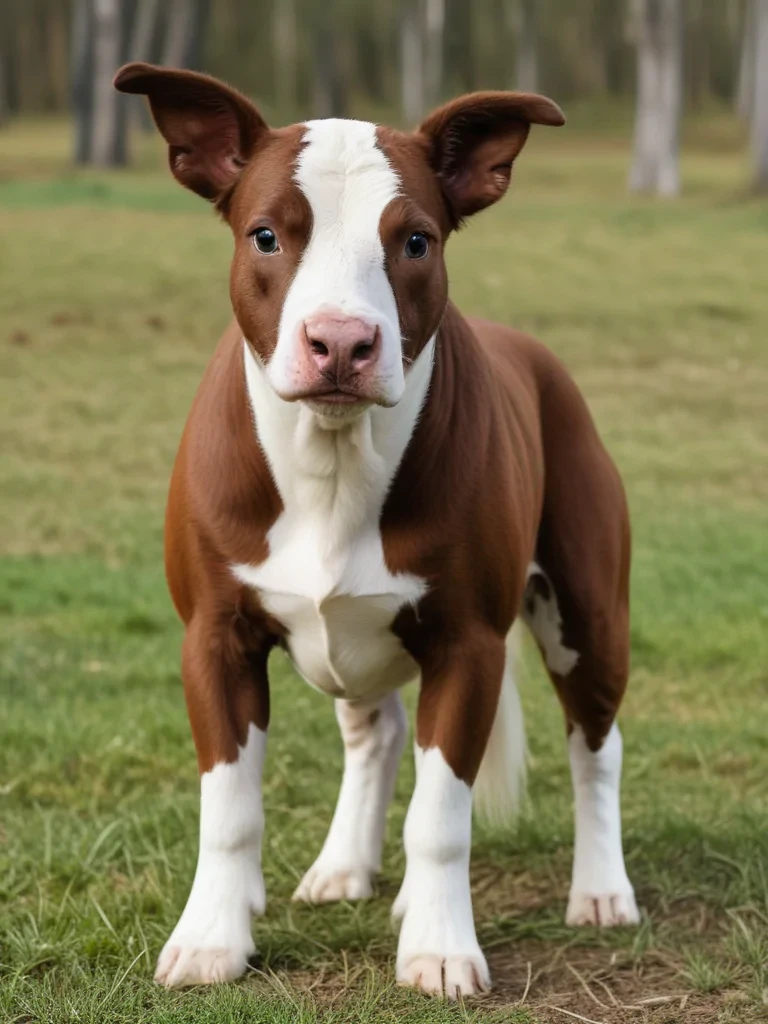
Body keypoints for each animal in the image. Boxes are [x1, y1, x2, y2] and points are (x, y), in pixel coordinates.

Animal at [114, 62, 638, 999]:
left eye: (417, 242)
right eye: (266, 236)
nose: (342, 342)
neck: (333, 455)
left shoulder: (468, 644)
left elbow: (441, 815)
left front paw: (439, 946)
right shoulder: (213, 638)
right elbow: (229, 808)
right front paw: (212, 936)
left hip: (586, 614)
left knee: (595, 744)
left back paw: (602, 888)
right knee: (379, 731)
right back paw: (344, 866)